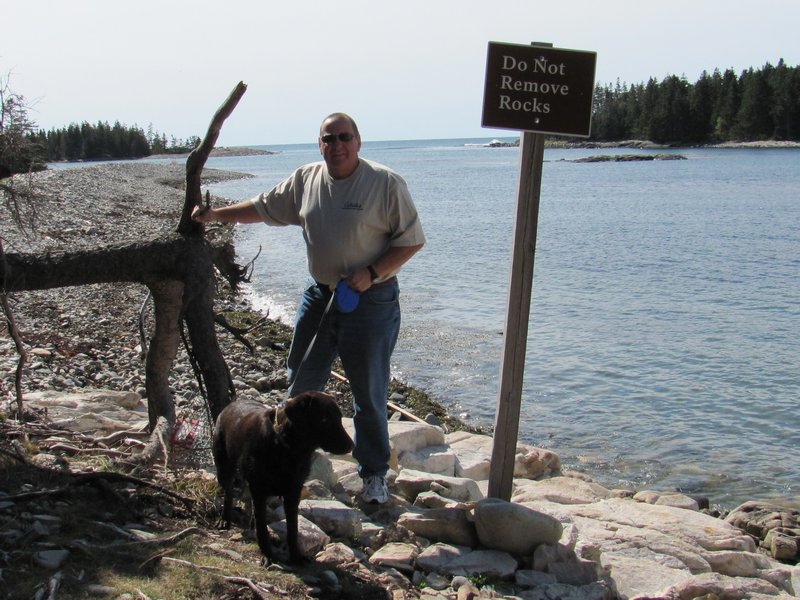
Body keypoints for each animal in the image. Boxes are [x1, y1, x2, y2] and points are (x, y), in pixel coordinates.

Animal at [212, 392, 354, 564]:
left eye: (340, 418)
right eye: (324, 420)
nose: (351, 446)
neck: (287, 447)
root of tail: (231, 404)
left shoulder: (293, 491)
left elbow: (292, 528)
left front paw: (296, 557)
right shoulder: (259, 489)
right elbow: (262, 528)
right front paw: (267, 554)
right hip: (223, 466)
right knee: (229, 492)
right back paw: (225, 519)